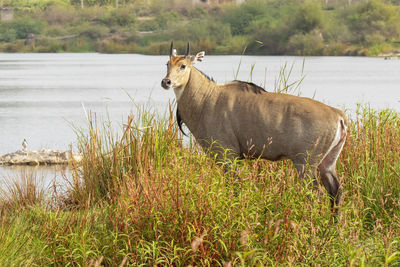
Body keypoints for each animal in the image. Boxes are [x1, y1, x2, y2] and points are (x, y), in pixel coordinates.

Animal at [162, 43, 346, 213]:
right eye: (167, 64)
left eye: (183, 65)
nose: (166, 82)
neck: (207, 99)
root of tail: (338, 116)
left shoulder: (228, 155)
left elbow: (235, 187)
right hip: (328, 162)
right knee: (335, 190)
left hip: (305, 163)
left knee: (316, 193)